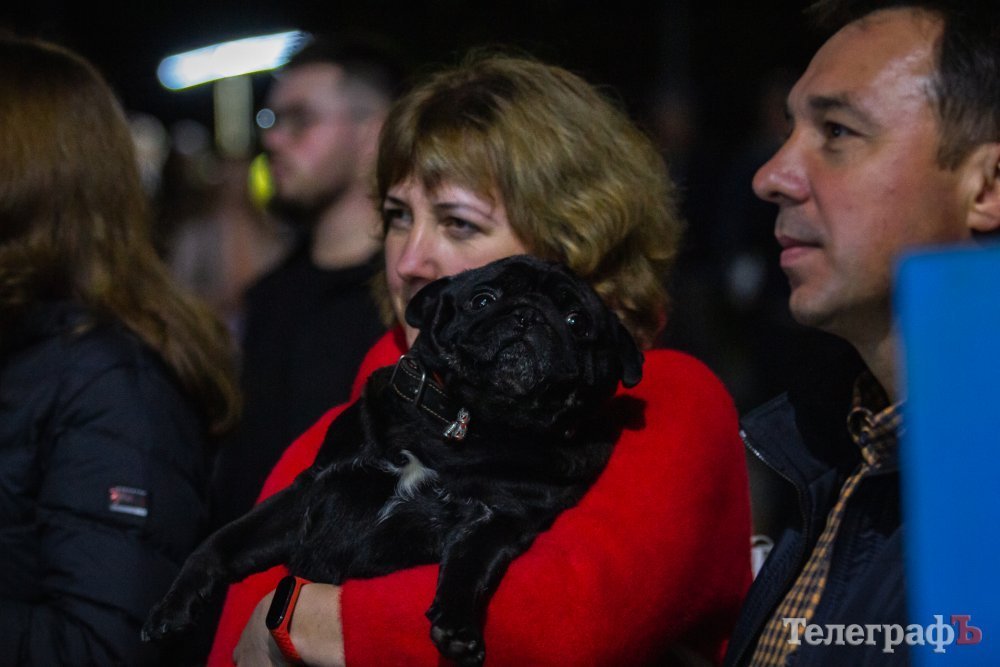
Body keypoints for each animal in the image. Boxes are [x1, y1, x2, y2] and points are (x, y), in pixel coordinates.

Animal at [142, 255, 643, 666]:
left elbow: (470, 568)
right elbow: (224, 541)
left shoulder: (496, 521)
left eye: (577, 321)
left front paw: (458, 626)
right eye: (483, 299)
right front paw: (175, 603)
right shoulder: (310, 493)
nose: (529, 315)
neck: (467, 422)